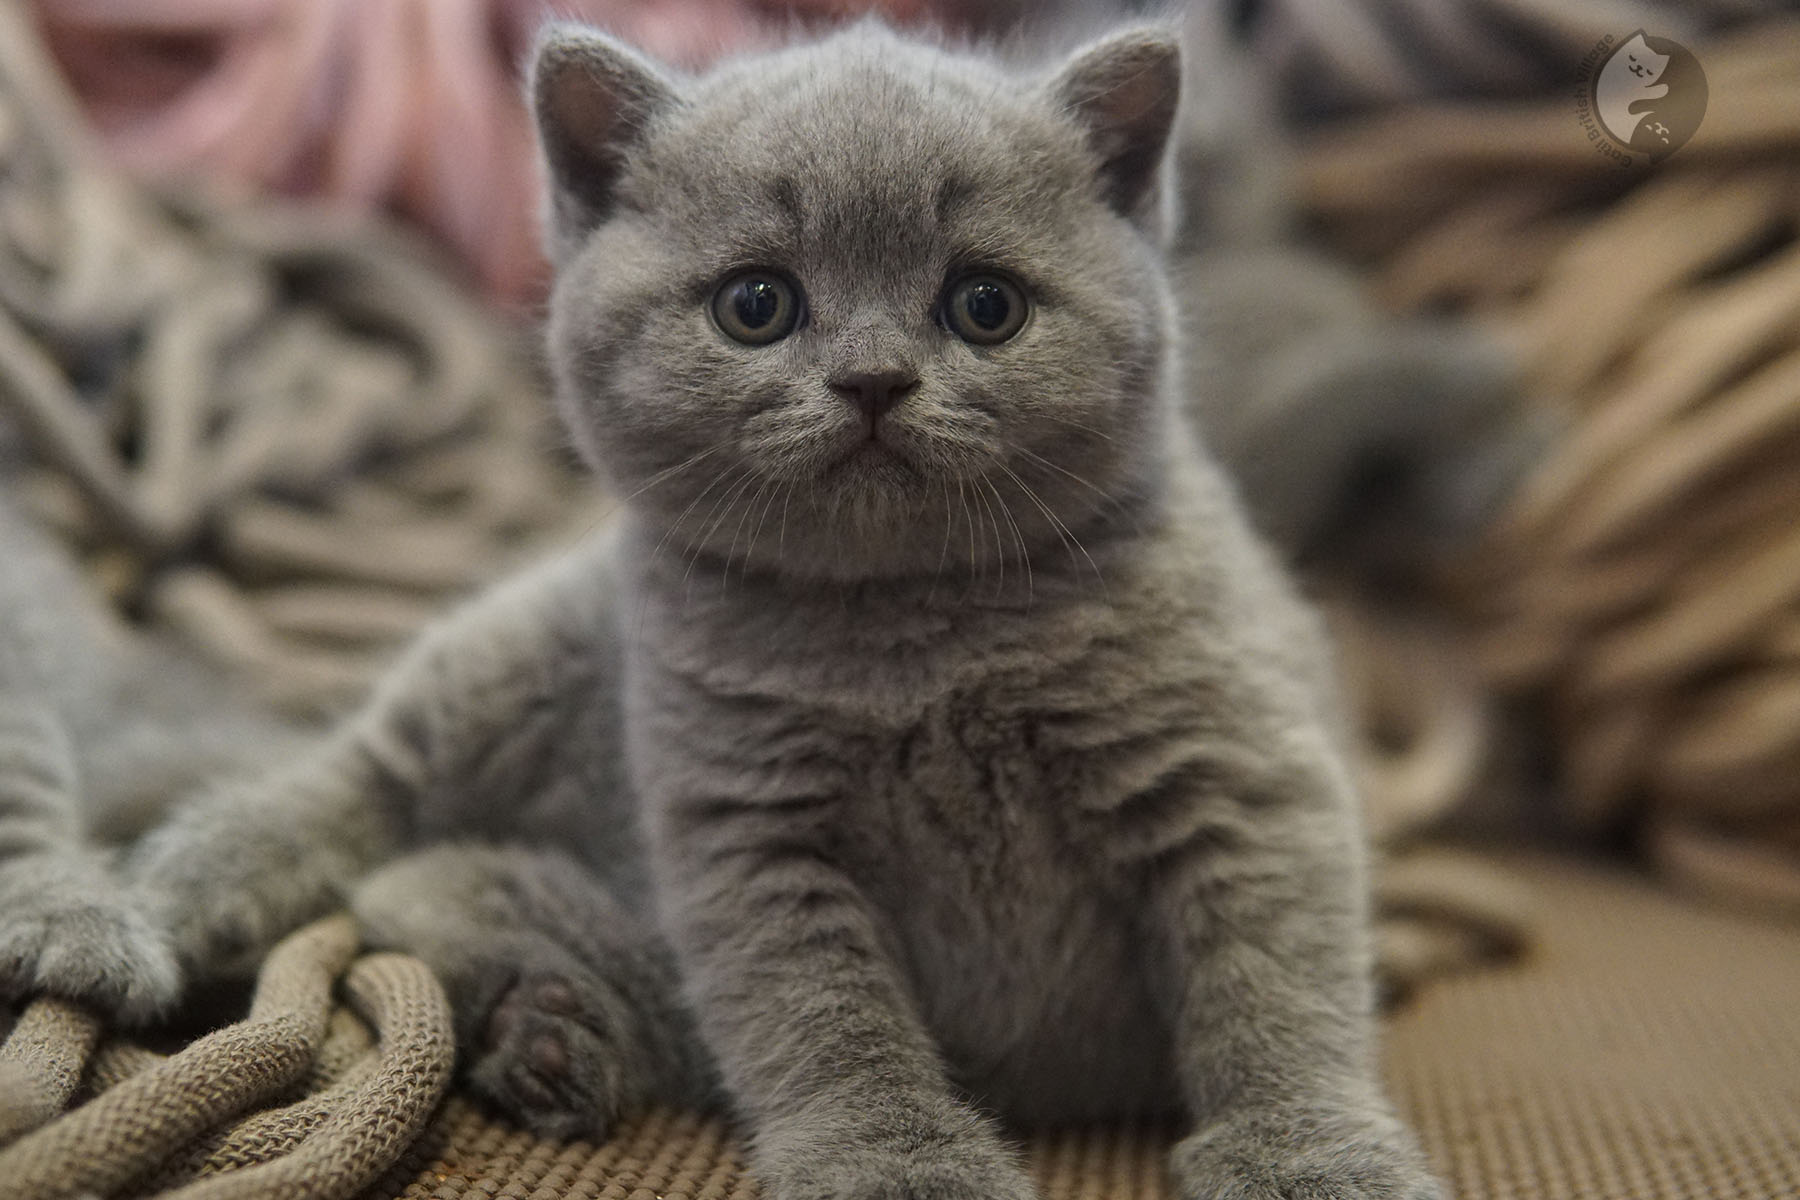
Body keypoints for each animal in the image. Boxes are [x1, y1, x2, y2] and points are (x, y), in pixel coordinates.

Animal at [126, 16, 1440, 1200]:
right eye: (755, 304)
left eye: (986, 305)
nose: (873, 380)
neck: (913, 638)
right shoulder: (749, 834)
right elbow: (829, 1023)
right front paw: (899, 1170)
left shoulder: (1234, 776)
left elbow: (1276, 983)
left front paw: (1310, 1156)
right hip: (530, 648)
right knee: (371, 783)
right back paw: (180, 904)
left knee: (435, 881)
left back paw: (550, 1031)